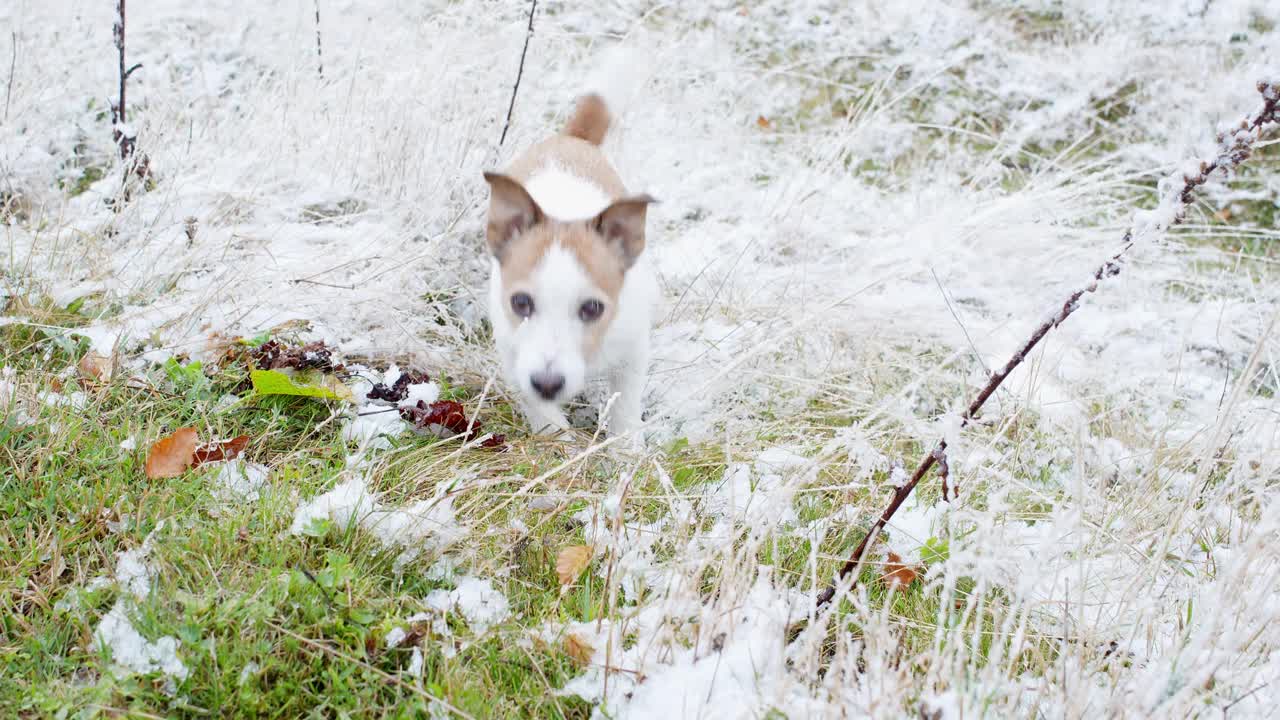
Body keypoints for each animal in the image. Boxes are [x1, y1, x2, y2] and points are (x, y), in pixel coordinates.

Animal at [483, 80, 655, 438]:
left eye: (593, 308)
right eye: (520, 303)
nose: (547, 384)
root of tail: (572, 139)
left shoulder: (632, 349)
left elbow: (625, 406)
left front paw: (626, 446)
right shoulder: (514, 355)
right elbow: (541, 411)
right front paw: (559, 438)